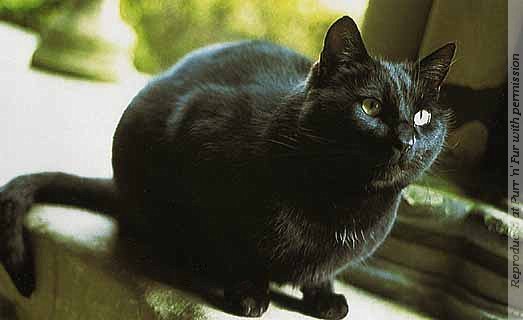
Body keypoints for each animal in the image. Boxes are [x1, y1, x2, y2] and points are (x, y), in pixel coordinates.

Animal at [0, 16, 454, 318]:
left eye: (422, 117)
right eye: (370, 106)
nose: (407, 139)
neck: (338, 202)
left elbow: (323, 271)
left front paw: (322, 295)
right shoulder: (197, 131)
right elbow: (235, 248)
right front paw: (248, 291)